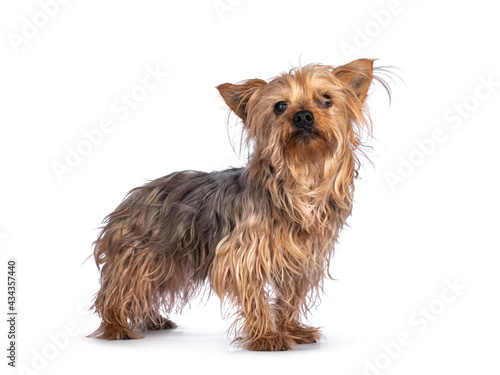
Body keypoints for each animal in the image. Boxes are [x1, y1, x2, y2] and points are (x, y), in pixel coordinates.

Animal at [89, 58, 386, 352]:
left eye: (326, 99)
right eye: (280, 106)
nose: (303, 116)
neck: (300, 178)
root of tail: (135, 195)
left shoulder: (301, 260)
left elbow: (290, 296)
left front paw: (291, 329)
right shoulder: (241, 256)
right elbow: (254, 295)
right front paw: (266, 336)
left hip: (170, 263)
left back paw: (153, 321)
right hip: (143, 255)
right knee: (119, 291)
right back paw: (116, 326)